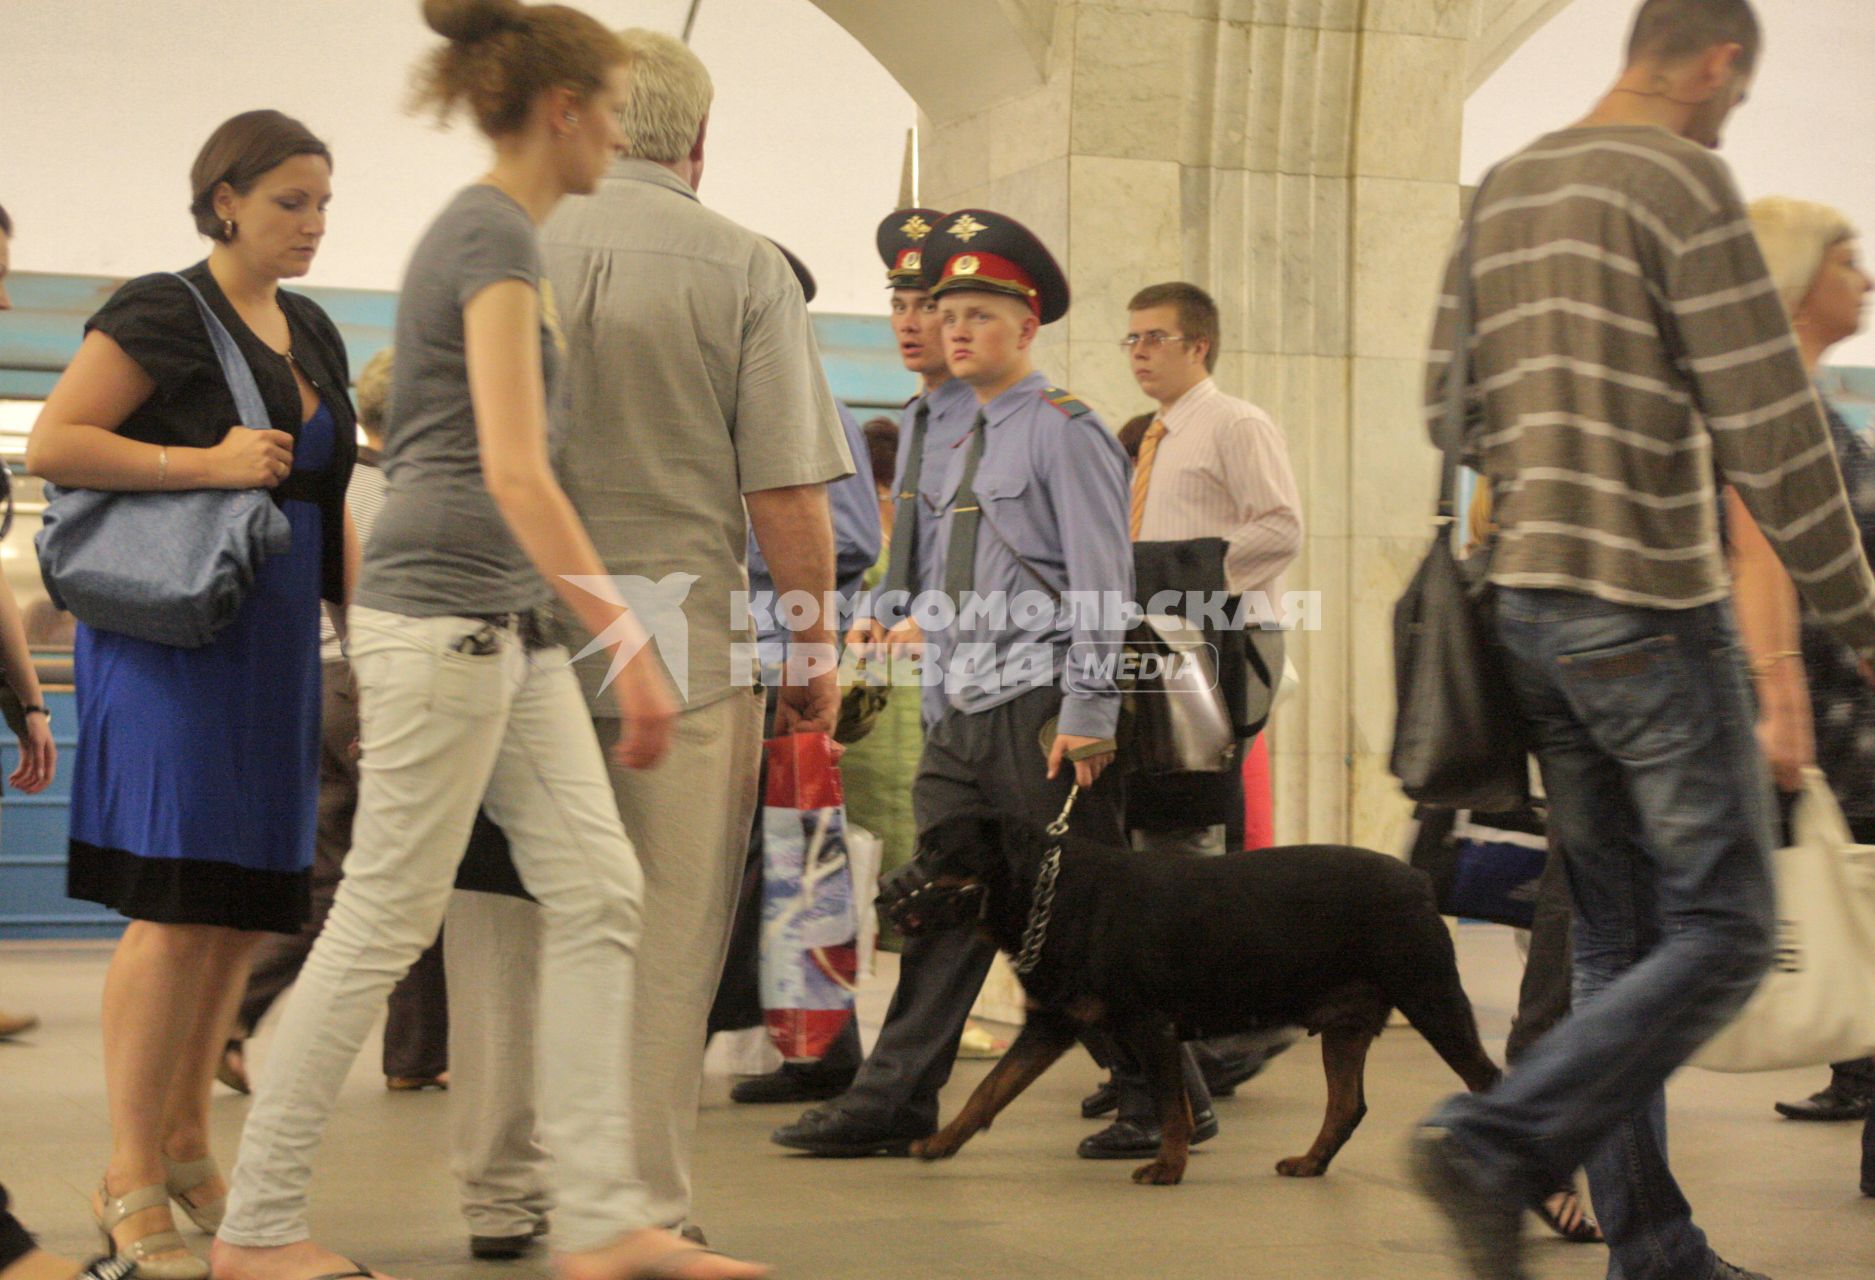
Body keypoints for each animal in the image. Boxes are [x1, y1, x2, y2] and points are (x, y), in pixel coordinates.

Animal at [870, 817, 1500, 1184]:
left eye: (937, 853)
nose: (880, 893)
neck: (1045, 894)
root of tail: (1419, 880)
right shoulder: (1051, 1024)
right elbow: (990, 1088)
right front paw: (941, 1142)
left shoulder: (1150, 1025)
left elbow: (1173, 1107)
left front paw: (1168, 1166)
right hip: (1346, 1024)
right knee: (1346, 1105)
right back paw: (1310, 1161)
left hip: (1432, 997)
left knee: (1487, 1078)